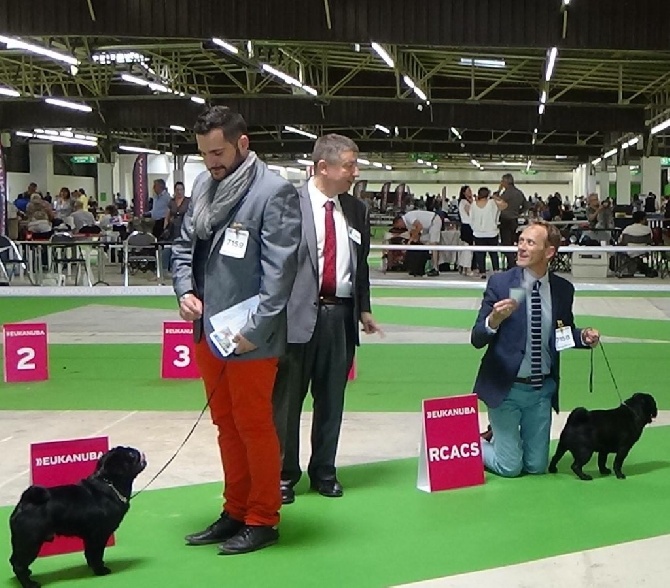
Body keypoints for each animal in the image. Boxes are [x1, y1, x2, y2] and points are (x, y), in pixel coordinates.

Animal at [9, 446, 146, 588]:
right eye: (131, 454)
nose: (137, 451)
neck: (110, 484)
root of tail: (25, 503)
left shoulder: (90, 537)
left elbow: (90, 554)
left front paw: (95, 567)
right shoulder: (98, 535)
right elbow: (96, 554)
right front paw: (100, 570)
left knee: (14, 560)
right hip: (30, 543)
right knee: (19, 564)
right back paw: (29, 583)